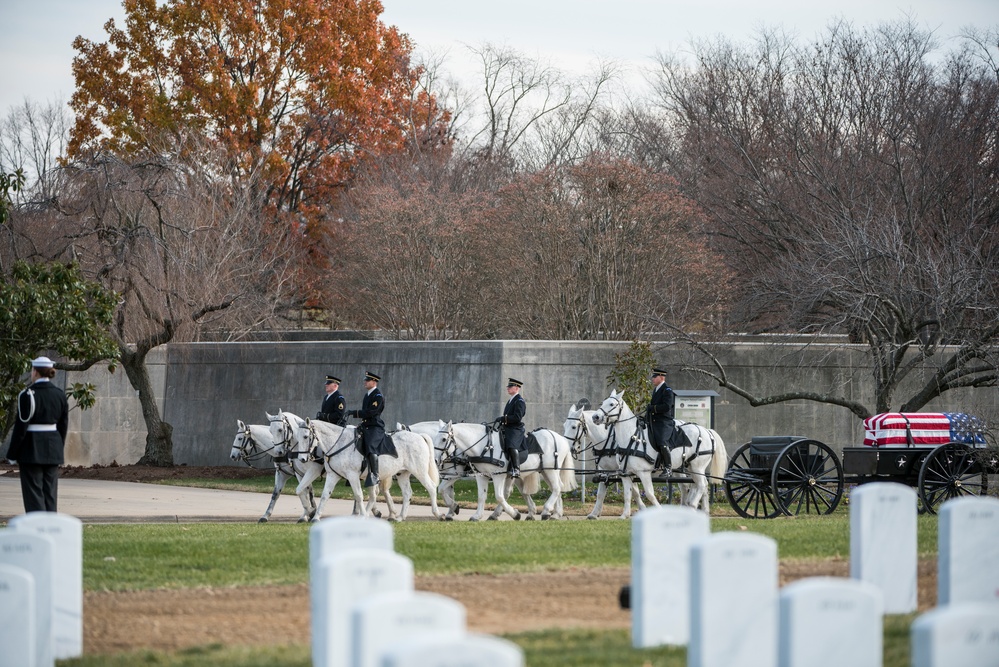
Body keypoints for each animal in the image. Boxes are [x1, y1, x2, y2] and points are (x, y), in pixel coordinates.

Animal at [440, 422, 580, 520]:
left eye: (443, 439)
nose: (436, 460)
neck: (485, 446)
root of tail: (560, 437)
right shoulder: (481, 475)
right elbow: (480, 496)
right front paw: (475, 515)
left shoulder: (497, 475)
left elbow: (499, 496)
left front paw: (515, 514)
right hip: (544, 471)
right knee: (553, 488)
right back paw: (553, 513)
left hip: (551, 470)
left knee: (557, 487)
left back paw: (546, 511)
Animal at [592, 392, 728, 516]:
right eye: (602, 403)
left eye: (611, 404)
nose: (595, 417)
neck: (631, 437)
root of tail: (706, 431)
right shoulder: (626, 474)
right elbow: (628, 494)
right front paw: (625, 515)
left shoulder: (644, 473)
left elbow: (649, 494)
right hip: (691, 467)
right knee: (700, 485)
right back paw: (702, 511)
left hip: (697, 467)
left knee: (702, 485)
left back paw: (693, 506)